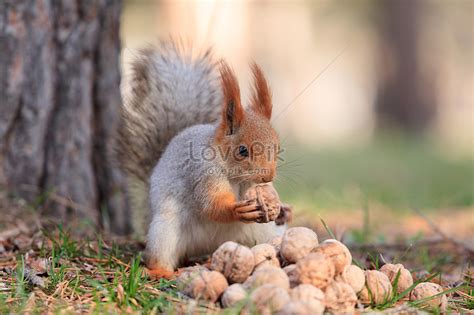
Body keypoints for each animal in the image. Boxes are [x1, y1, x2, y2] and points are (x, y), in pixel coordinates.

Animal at [116, 41, 290, 278]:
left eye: (277, 147)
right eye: (242, 151)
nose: (267, 176)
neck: (235, 175)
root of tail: (206, 247)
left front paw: (277, 205)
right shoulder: (202, 171)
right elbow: (211, 205)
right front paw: (236, 210)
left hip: (259, 231)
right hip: (166, 229)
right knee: (159, 255)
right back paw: (164, 271)